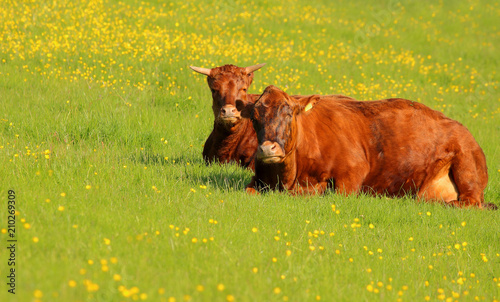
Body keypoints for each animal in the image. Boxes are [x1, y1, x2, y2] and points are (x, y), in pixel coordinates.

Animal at [246, 84, 496, 209]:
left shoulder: (353, 173)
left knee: (466, 204)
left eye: (288, 113)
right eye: (255, 117)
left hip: (466, 168)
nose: (267, 149)